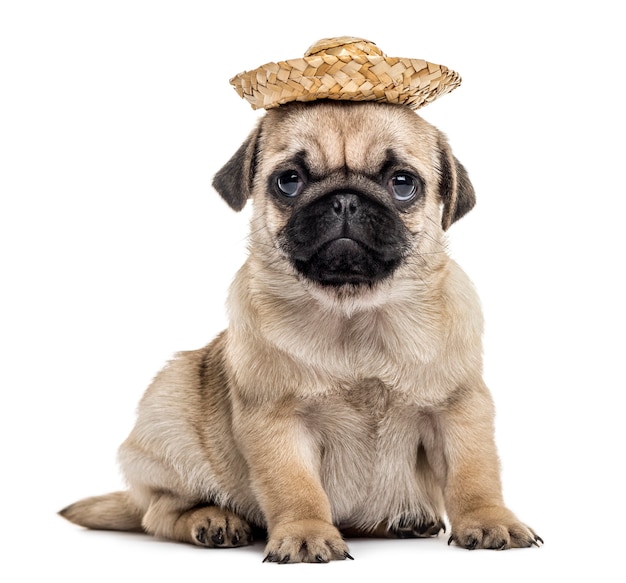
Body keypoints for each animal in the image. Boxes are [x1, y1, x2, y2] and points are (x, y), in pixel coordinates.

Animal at [59, 99, 540, 560]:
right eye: (288, 181)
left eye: (403, 184)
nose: (345, 200)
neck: (354, 315)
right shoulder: (277, 420)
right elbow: (294, 487)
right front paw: (306, 534)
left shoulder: (460, 409)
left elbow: (474, 473)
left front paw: (490, 520)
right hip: (170, 409)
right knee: (160, 511)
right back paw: (214, 520)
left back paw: (404, 519)